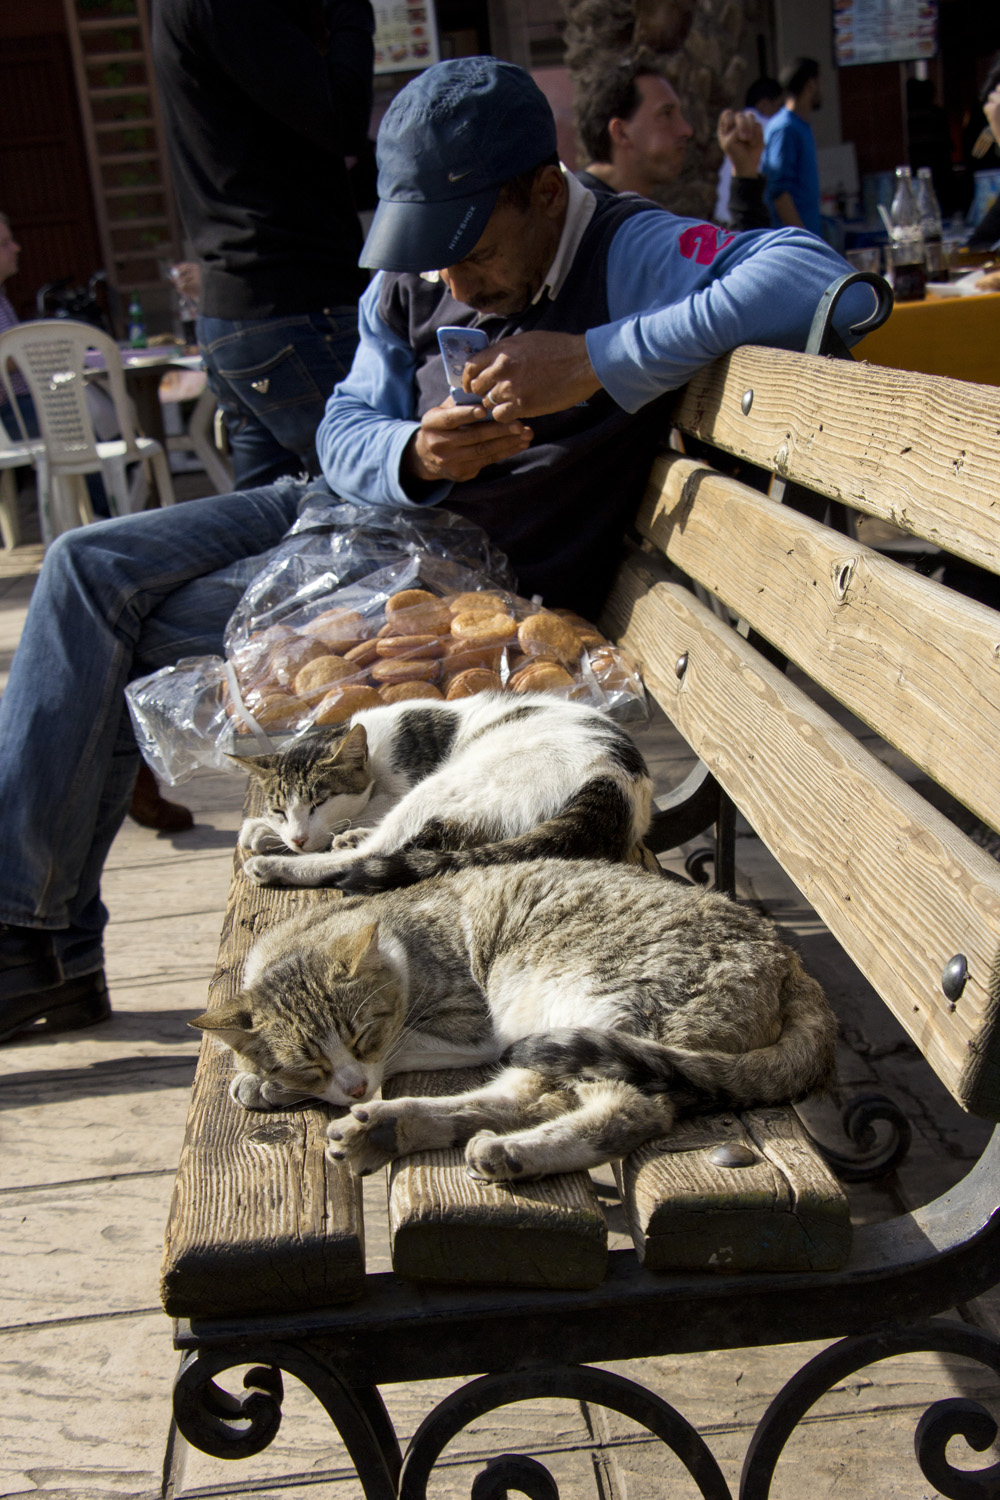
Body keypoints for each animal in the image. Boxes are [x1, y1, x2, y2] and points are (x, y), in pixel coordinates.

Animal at [193, 864, 839, 1176]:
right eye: (310, 1063)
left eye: (363, 1034)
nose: (352, 1089)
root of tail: (790, 959)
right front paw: (266, 1080)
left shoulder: (472, 1027)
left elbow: (403, 1047)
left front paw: (273, 1084)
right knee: (527, 1096)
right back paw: (392, 1127)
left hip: (598, 1004)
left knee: (626, 1109)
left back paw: (508, 1152)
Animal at [235, 696, 656, 894]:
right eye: (278, 809)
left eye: (320, 801)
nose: (297, 840)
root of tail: (613, 776)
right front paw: (265, 829)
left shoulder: (398, 788)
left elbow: (357, 814)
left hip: (446, 782)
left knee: (373, 852)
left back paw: (276, 866)